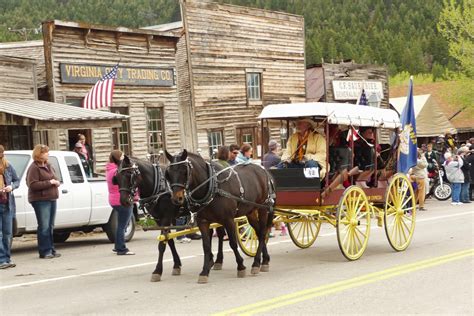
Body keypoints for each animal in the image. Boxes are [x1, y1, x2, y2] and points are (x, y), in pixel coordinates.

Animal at [165, 151, 274, 284]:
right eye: (169, 173)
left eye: (184, 171)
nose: (177, 198)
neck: (212, 187)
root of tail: (262, 169)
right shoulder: (203, 222)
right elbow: (206, 246)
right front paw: (204, 271)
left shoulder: (228, 220)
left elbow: (233, 243)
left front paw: (241, 266)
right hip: (251, 211)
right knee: (258, 232)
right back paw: (265, 260)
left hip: (263, 208)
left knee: (262, 232)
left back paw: (257, 263)